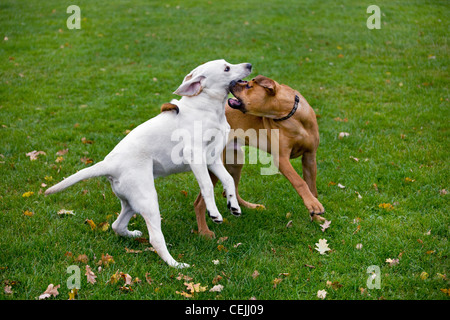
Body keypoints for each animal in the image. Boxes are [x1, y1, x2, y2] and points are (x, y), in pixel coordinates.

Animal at [45, 59, 253, 268]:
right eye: (226, 68)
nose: (249, 65)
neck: (208, 108)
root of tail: (109, 164)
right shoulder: (195, 156)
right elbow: (208, 186)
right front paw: (214, 212)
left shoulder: (212, 158)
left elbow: (228, 180)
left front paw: (233, 205)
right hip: (149, 199)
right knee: (155, 239)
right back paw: (176, 264)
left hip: (132, 201)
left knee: (116, 225)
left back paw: (132, 234)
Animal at [193, 76, 324, 239]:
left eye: (248, 86)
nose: (232, 82)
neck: (291, 116)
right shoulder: (282, 159)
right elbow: (300, 182)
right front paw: (313, 205)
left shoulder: (309, 158)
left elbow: (312, 188)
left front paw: (316, 215)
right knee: (199, 202)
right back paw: (204, 232)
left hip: (236, 160)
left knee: (231, 191)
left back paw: (250, 207)